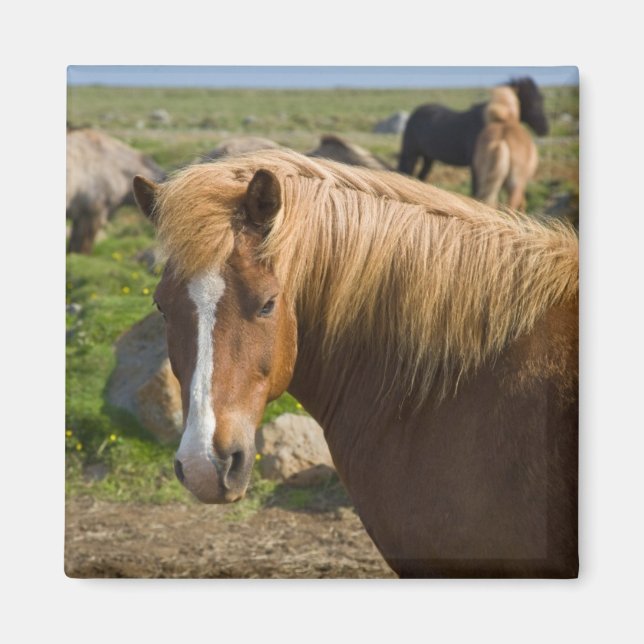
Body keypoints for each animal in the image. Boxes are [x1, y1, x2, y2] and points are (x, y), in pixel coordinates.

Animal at [397, 77, 548, 193]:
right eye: (529, 101)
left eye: (541, 99)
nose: (544, 129)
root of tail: (415, 113)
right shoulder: (477, 167)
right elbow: (476, 190)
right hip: (411, 154)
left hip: (428, 157)